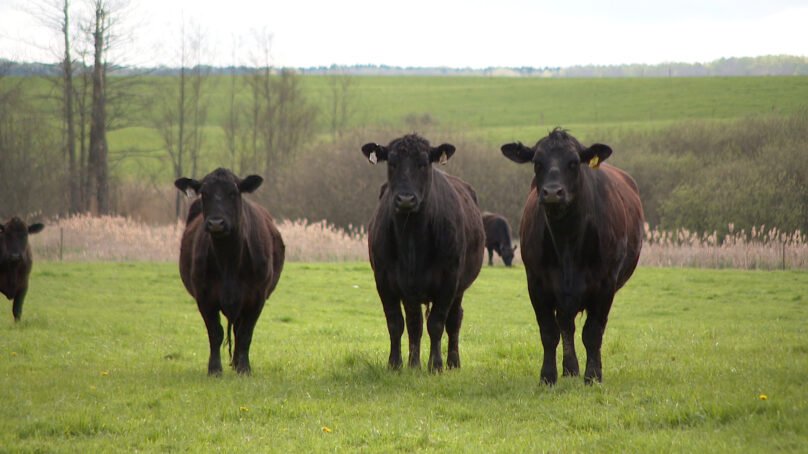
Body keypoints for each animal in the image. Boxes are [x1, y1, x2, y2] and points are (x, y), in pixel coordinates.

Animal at [174, 168, 284, 374]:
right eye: (204, 193)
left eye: (233, 192)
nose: (216, 223)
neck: (228, 259)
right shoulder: (204, 296)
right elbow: (215, 333)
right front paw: (215, 369)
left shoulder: (256, 297)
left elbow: (245, 333)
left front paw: (244, 368)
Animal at [362, 134, 486, 372]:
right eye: (392, 163)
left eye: (423, 163)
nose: (405, 199)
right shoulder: (385, 280)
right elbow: (398, 324)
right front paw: (399, 364)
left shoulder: (449, 280)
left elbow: (436, 324)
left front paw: (435, 365)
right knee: (415, 324)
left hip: (459, 287)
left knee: (454, 320)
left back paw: (453, 362)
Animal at [498, 127, 644, 384]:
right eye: (537, 162)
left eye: (574, 162)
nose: (552, 192)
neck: (566, 240)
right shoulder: (537, 284)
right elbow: (549, 332)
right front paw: (548, 376)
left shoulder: (605, 286)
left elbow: (593, 333)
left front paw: (593, 376)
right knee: (566, 325)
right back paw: (569, 369)